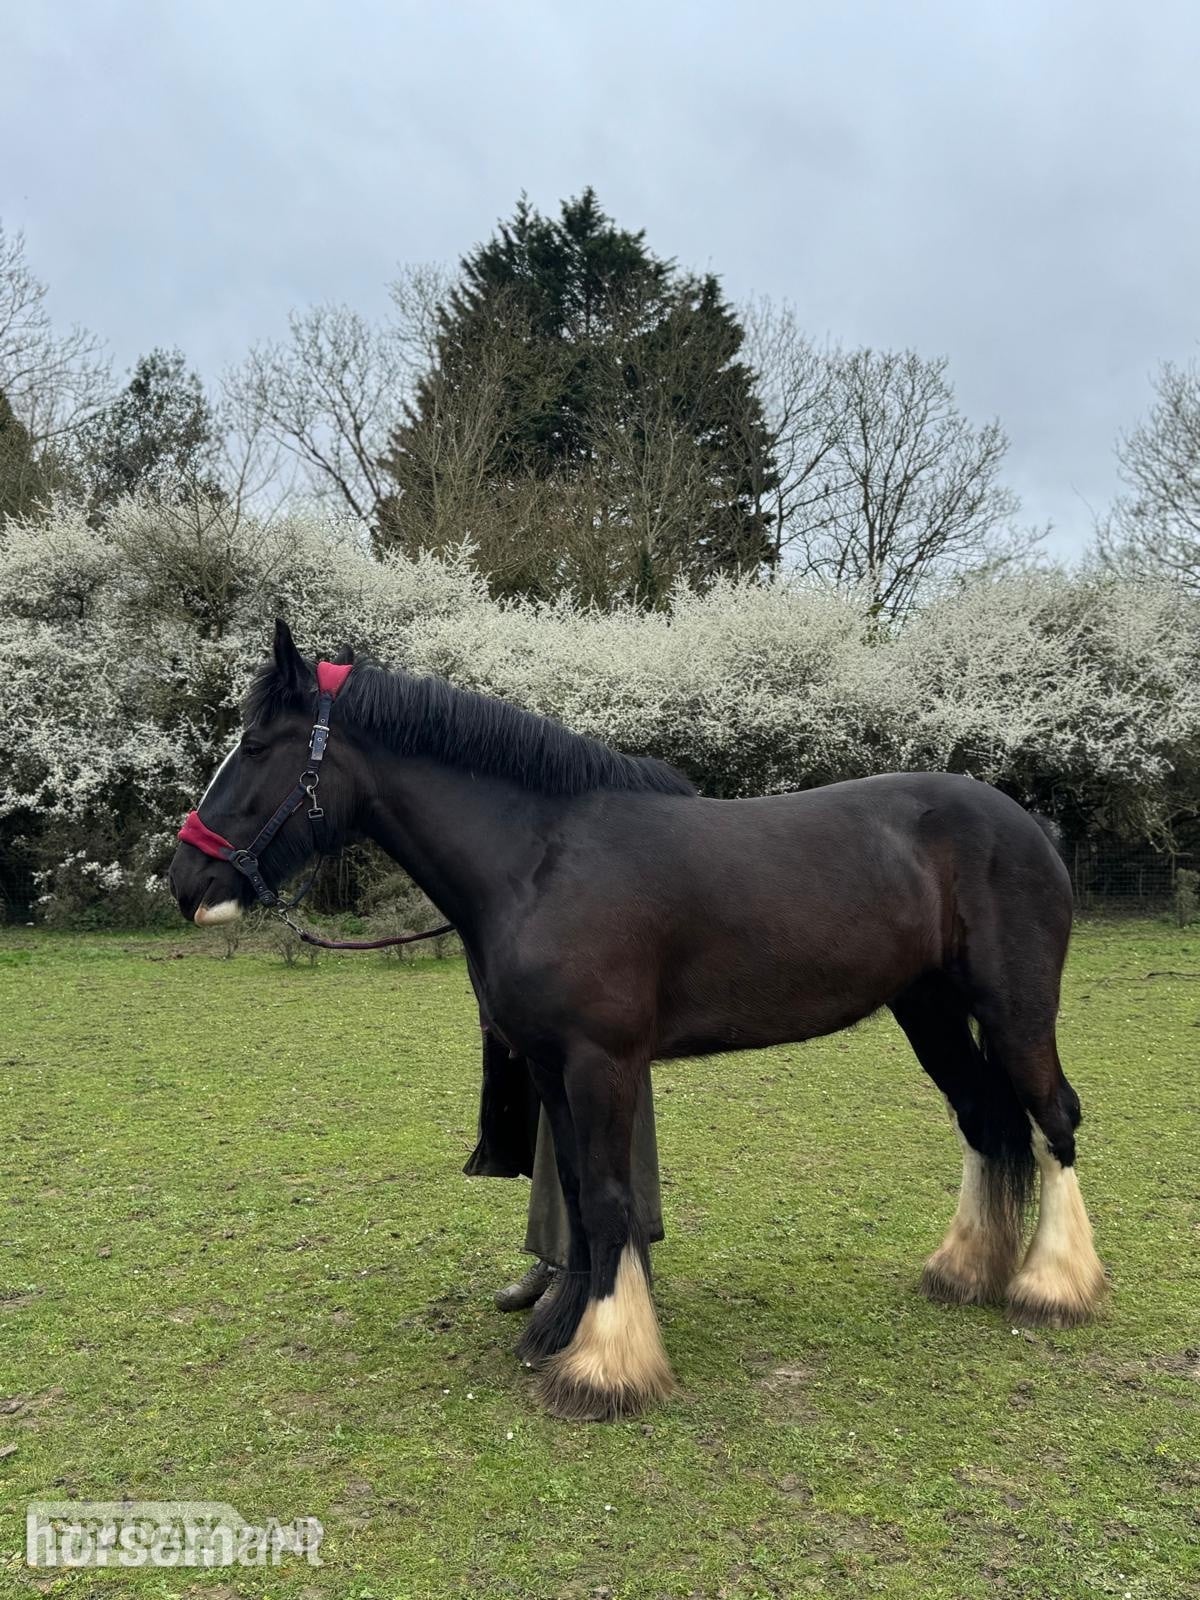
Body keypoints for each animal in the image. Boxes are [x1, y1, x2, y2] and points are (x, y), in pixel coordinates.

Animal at [167, 621, 1107, 1421]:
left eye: (256, 747)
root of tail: (1024, 823)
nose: (185, 881)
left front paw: (605, 1365)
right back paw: (965, 1270)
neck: (540, 860)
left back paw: (1053, 1286)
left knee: (1052, 1117)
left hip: (1015, 1010)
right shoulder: (551, 1067)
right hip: (930, 1012)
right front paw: (561, 1327)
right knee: (987, 1122)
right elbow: (580, 1195)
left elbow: (613, 1199)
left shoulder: (602, 1062)